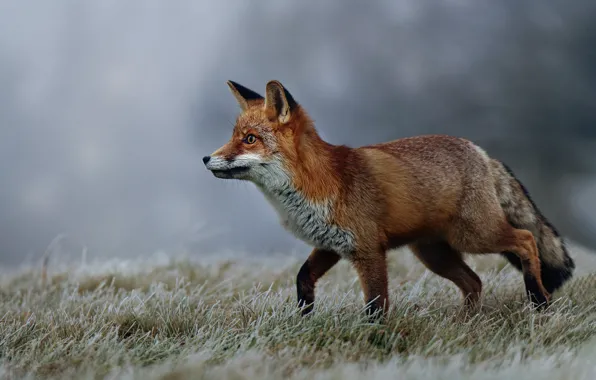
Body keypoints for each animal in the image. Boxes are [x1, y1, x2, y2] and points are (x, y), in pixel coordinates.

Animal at [203, 78, 576, 316]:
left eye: (249, 139)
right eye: (234, 136)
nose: (206, 158)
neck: (317, 184)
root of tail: (481, 152)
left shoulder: (368, 250)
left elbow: (376, 305)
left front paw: (373, 339)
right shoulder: (331, 244)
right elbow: (302, 278)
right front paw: (304, 317)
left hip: (475, 236)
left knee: (526, 240)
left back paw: (538, 300)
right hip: (434, 254)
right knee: (474, 282)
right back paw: (465, 324)